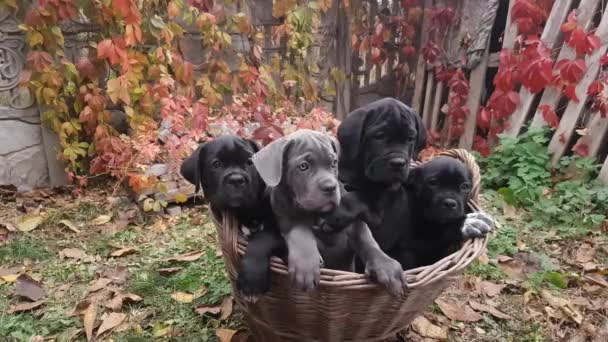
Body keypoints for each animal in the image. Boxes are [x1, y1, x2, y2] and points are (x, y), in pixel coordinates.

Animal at [180, 135, 284, 298]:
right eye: (216, 164)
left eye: (250, 162)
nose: (236, 179)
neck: (245, 212)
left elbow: (262, 239)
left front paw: (252, 280)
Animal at [252, 130, 404, 296]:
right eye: (303, 166)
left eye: (334, 163)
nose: (330, 187)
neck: (316, 213)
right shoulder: (285, 216)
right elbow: (299, 230)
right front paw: (305, 265)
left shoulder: (354, 223)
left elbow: (367, 240)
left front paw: (386, 265)